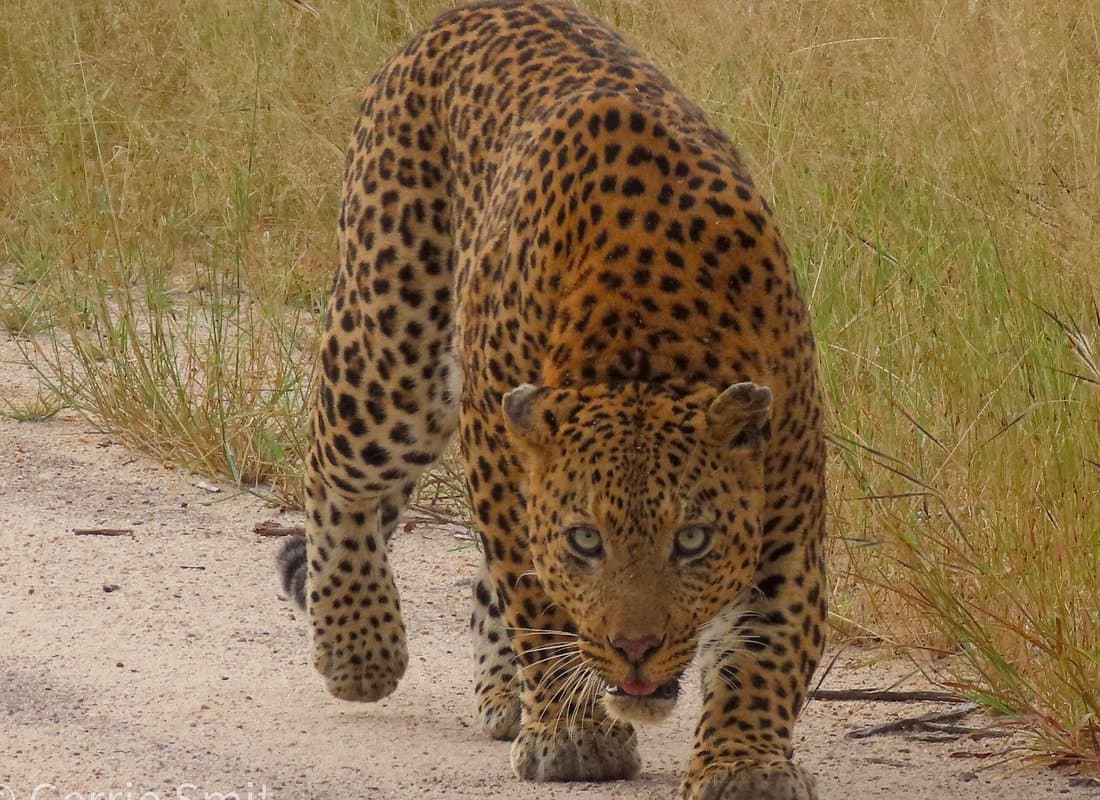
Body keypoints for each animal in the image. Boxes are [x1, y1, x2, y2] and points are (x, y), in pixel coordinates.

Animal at [276, 2, 827, 797]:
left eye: (693, 540)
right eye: (585, 541)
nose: (636, 649)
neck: (644, 350)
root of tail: (463, 14)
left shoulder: (786, 512)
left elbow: (767, 644)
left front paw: (744, 764)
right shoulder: (503, 458)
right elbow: (536, 597)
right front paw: (574, 735)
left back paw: (503, 695)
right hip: (392, 346)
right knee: (333, 472)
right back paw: (359, 649)